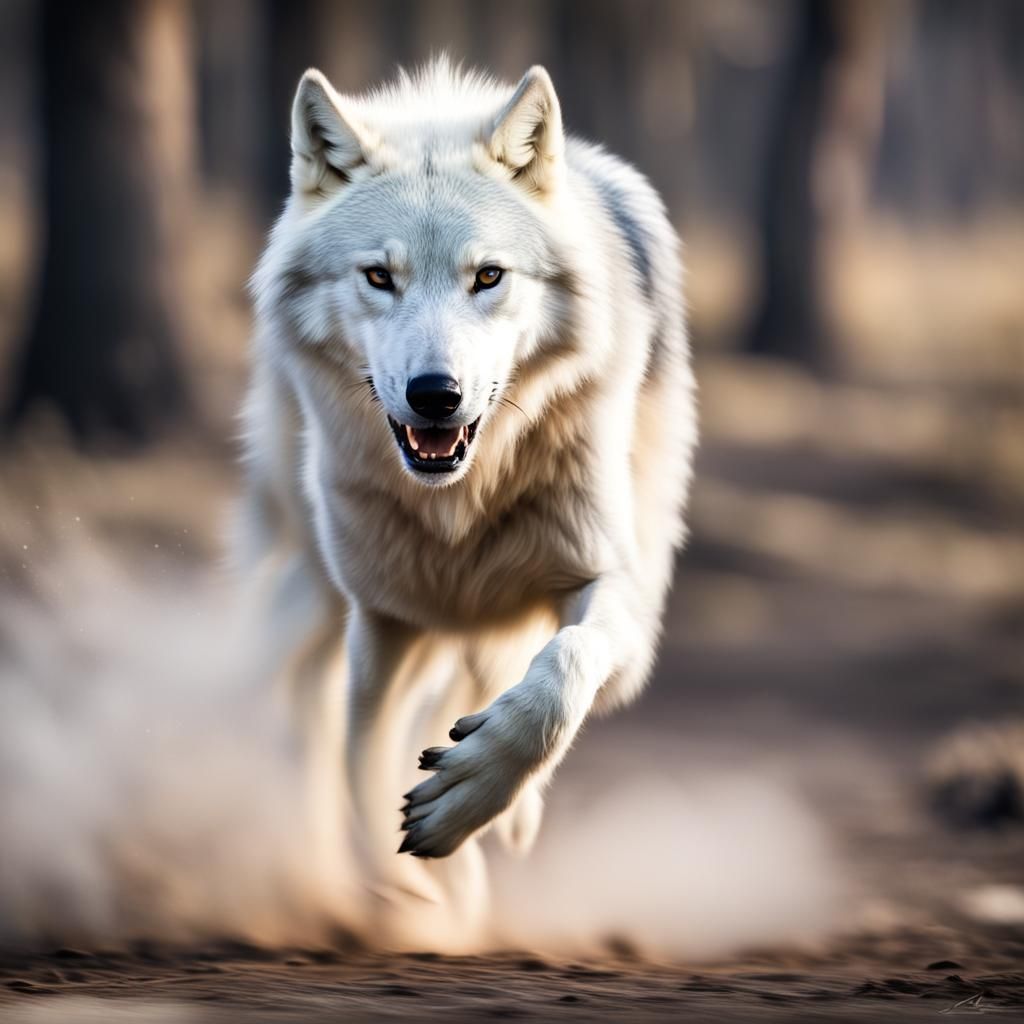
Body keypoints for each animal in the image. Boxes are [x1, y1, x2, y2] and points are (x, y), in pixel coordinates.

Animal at [240, 58, 696, 928]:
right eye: (379, 277)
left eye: (488, 277)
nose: (435, 395)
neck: (459, 504)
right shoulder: (382, 619)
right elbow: (361, 759)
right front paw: (426, 886)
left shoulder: (610, 590)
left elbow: (561, 671)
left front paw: (471, 797)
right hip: (320, 580)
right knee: (305, 698)